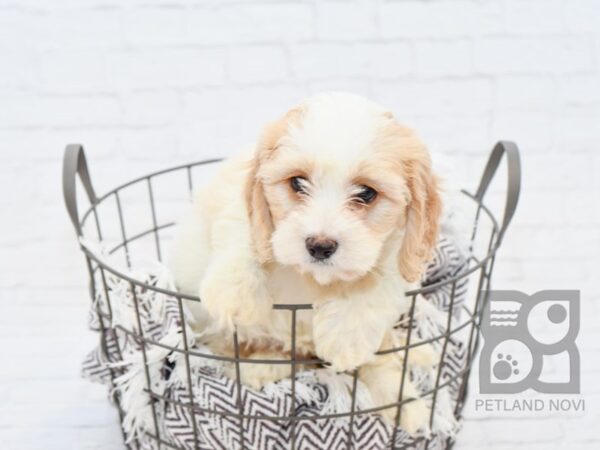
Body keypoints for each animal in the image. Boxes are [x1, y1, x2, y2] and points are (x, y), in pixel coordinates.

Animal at [169, 93, 440, 434]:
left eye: (366, 193)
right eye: (297, 183)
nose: (320, 246)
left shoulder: (395, 252)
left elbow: (375, 280)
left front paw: (347, 338)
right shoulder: (234, 195)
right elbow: (245, 229)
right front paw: (236, 295)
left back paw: (406, 398)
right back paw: (258, 368)